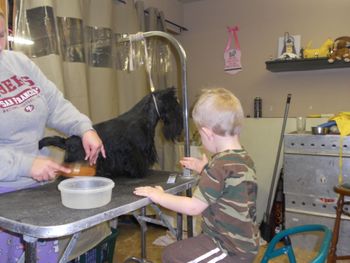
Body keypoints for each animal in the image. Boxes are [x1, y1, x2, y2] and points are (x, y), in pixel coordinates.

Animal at [39, 87, 183, 178]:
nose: (180, 125)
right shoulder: (135, 151)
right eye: (174, 104)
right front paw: (140, 173)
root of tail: (67, 141)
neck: (144, 116)